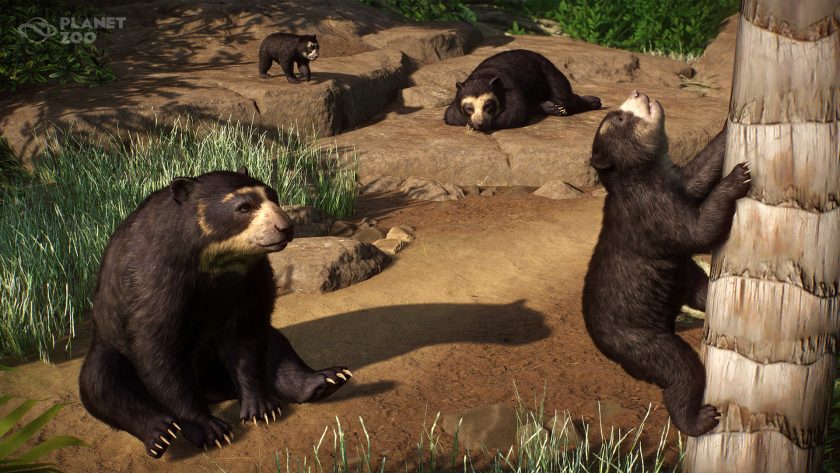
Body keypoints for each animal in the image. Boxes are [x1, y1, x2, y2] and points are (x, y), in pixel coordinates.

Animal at [78, 167, 352, 458]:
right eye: (244, 207)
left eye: (274, 196)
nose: (285, 227)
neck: (214, 262)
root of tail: (215, 388)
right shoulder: (156, 279)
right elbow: (158, 349)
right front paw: (211, 429)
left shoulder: (250, 276)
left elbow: (247, 336)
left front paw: (261, 408)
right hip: (108, 343)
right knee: (103, 385)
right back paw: (161, 432)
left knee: (277, 345)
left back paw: (328, 379)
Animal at [443, 49, 601, 132]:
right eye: (469, 108)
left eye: (488, 106)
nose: (480, 123)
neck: (484, 75)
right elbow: (451, 116)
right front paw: (470, 124)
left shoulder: (510, 89)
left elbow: (514, 114)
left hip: (549, 72)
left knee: (564, 97)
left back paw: (595, 102)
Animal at [581, 90, 751, 437]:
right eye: (620, 117)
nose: (637, 91)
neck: (644, 176)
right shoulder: (650, 210)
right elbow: (697, 232)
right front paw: (737, 177)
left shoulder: (675, 182)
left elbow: (698, 174)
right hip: (640, 340)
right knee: (680, 371)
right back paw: (699, 419)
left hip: (679, 282)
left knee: (698, 289)